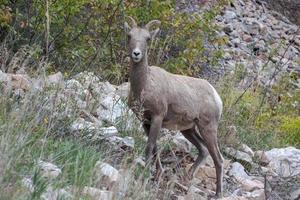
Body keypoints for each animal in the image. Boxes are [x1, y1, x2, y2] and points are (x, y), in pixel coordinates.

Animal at [123, 16, 223, 197]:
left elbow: (150, 147)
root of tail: (216, 96)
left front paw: (145, 175)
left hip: (208, 128)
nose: (136, 54)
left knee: (218, 158)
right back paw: (187, 177)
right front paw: (158, 174)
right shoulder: (145, 121)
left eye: (148, 38)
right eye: (129, 36)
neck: (145, 85)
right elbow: (155, 147)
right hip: (188, 130)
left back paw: (218, 194)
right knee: (203, 150)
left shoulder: (157, 117)